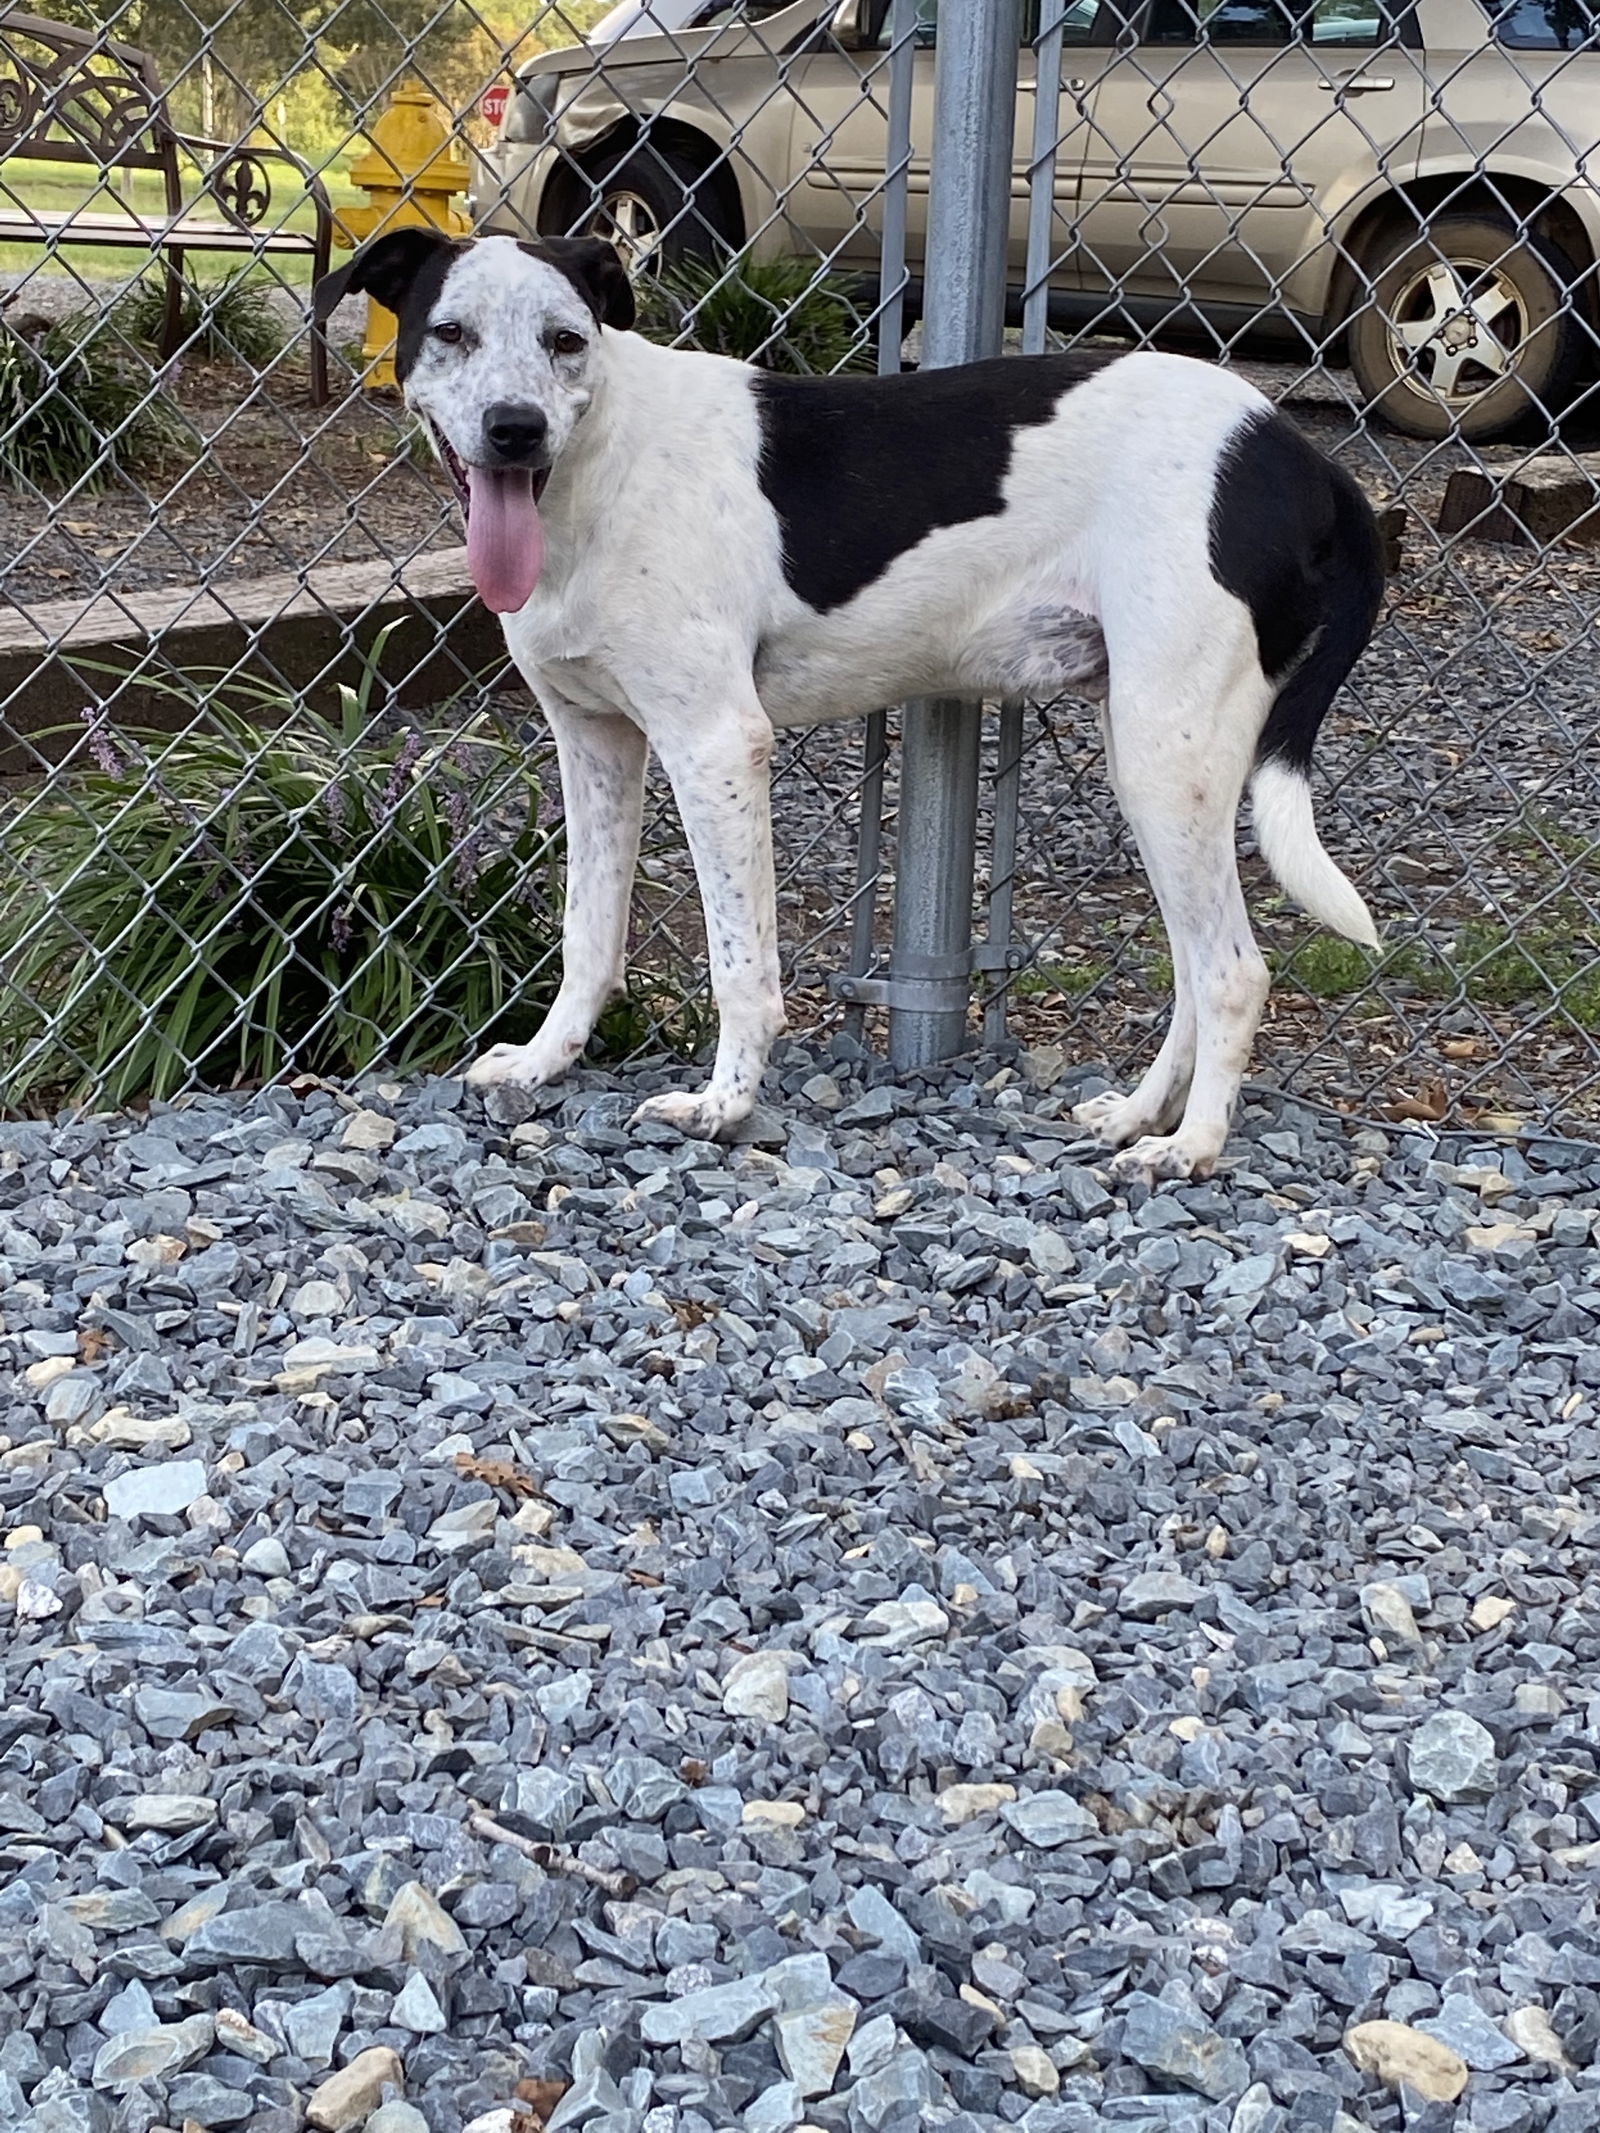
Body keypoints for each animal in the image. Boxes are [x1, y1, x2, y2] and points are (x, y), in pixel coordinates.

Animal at [315, 233, 1390, 1185]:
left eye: (566, 340)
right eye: (449, 332)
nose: (515, 428)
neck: (596, 470)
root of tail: (1303, 457)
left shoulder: (716, 743)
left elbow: (740, 965)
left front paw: (724, 1106)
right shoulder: (596, 743)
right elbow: (588, 935)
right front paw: (546, 1062)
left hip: (1174, 753)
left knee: (1233, 971)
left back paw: (1191, 1147)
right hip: (1154, 757)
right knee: (1193, 966)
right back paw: (1137, 1114)